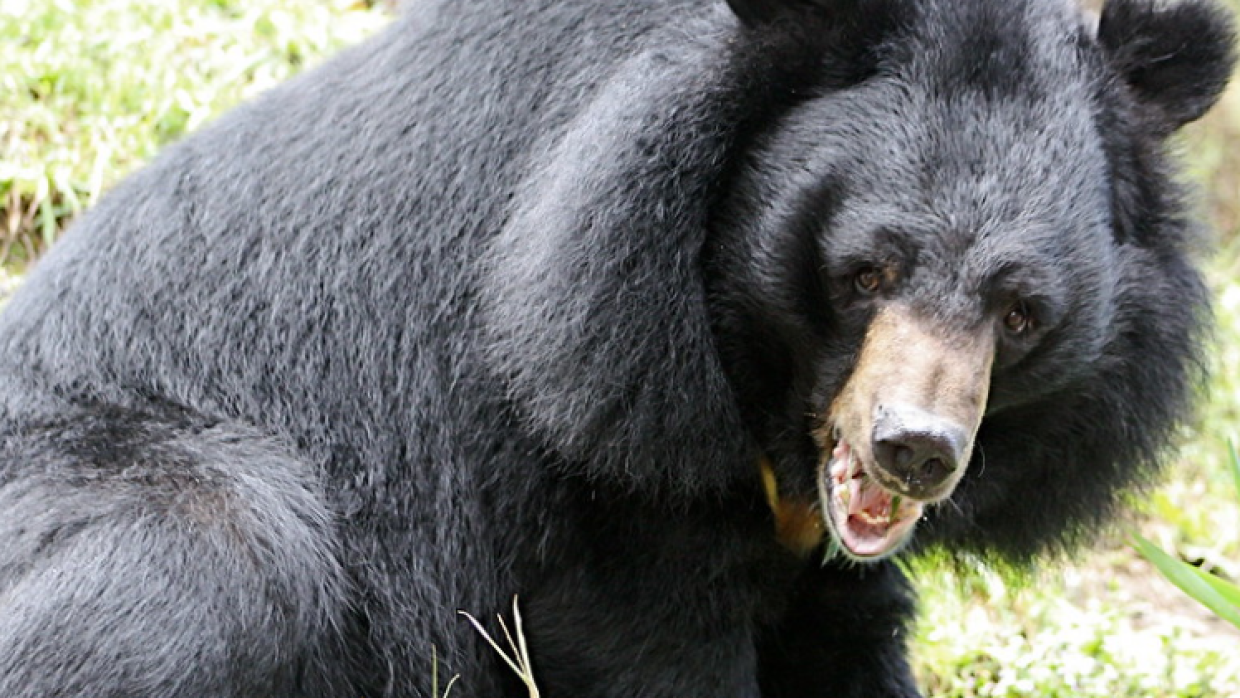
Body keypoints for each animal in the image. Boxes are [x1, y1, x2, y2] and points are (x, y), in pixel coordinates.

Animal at [0, 0, 1235, 694]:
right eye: (865, 271)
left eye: (1021, 311)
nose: (915, 450)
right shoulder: (593, 429)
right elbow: (650, 640)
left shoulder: (811, 560)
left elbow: (846, 632)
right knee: (226, 556)